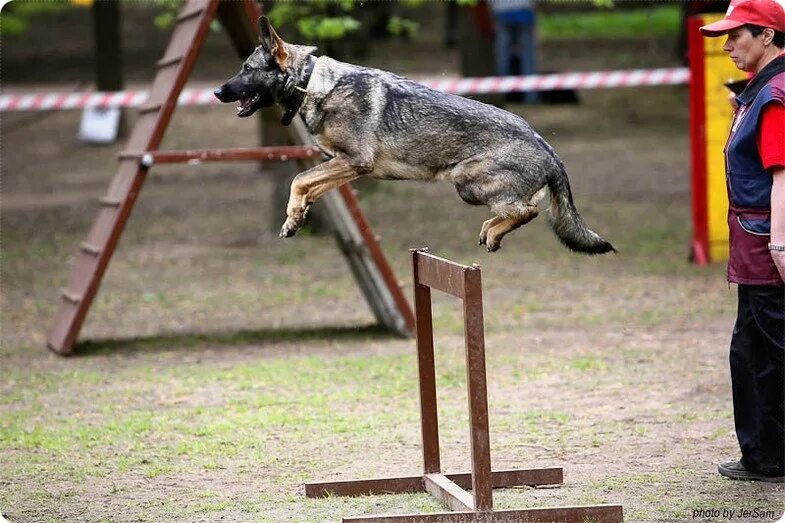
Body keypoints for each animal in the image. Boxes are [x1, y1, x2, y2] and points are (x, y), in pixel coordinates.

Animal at [214, 16, 612, 254]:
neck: (312, 83)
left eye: (246, 69)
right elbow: (309, 186)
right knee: (519, 211)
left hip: (468, 184)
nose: (217, 91)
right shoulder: (343, 165)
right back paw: (492, 229)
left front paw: (293, 214)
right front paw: (295, 218)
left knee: (527, 210)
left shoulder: (354, 162)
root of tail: (549, 148)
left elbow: (298, 180)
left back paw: (494, 230)